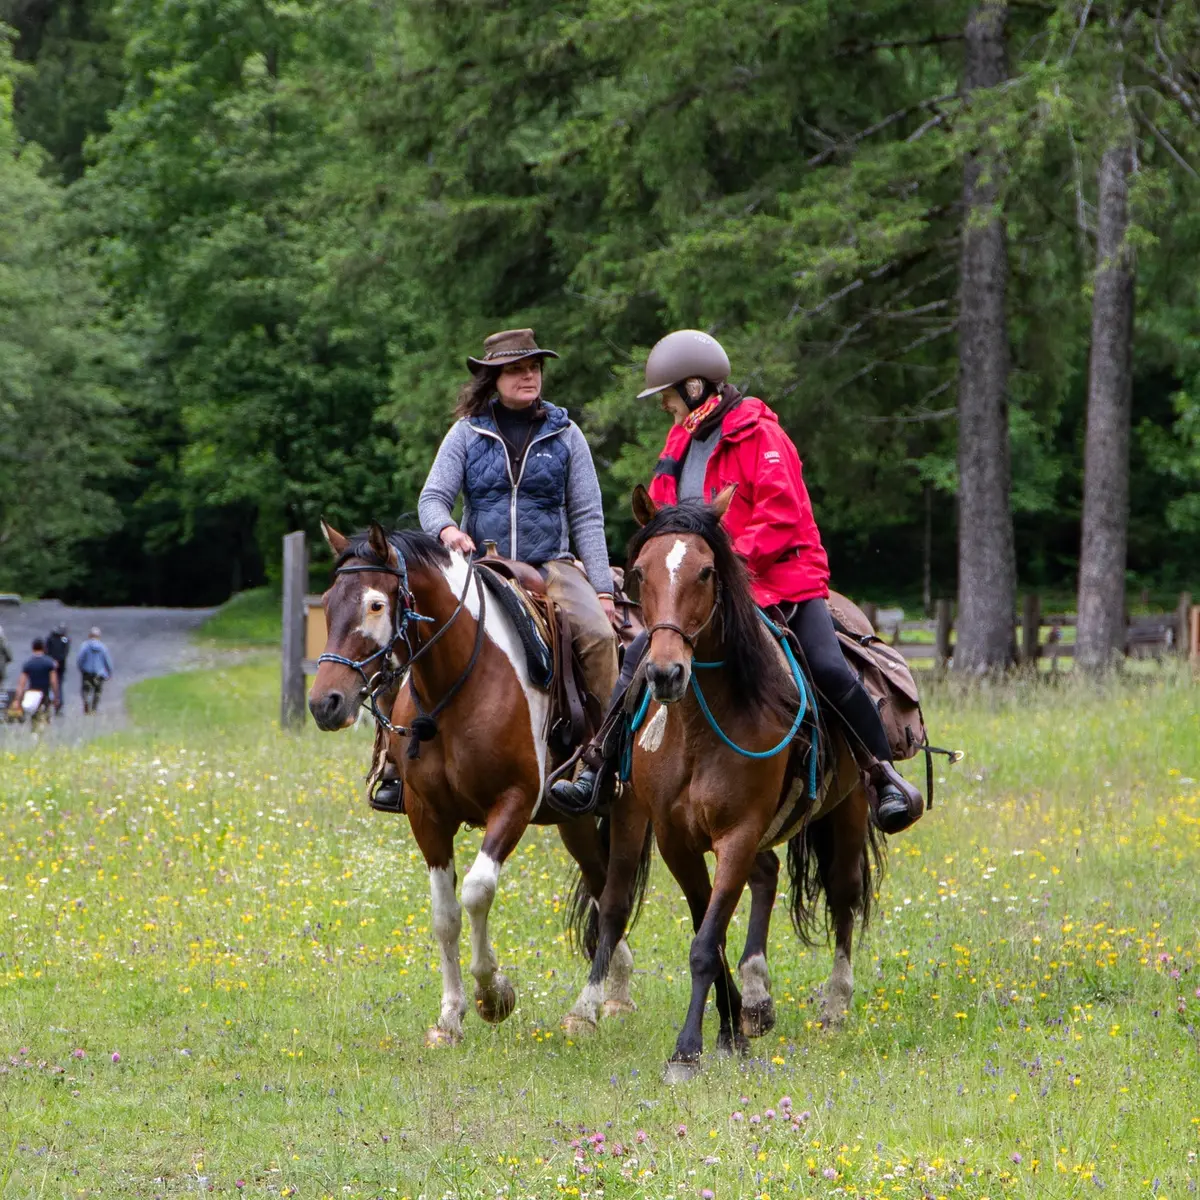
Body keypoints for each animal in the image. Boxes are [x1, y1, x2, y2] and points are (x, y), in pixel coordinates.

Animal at [309, 521, 645, 1045]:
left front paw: (494, 995)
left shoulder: (514, 802)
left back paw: (586, 1008)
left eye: (376, 605)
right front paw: (450, 1017)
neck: (461, 680)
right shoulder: (427, 815)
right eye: (327, 601)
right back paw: (618, 990)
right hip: (574, 822)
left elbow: (477, 890)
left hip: (630, 814)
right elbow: (445, 915)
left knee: (613, 897)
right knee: (598, 883)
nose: (325, 703)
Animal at [563, 488, 882, 1081]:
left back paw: (834, 1004)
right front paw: (732, 1027)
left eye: (707, 571)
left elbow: (705, 941)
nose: (666, 673)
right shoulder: (675, 839)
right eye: (640, 572)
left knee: (844, 895)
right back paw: (751, 998)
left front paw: (687, 1049)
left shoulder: (737, 833)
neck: (700, 729)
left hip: (848, 809)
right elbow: (706, 931)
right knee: (750, 878)